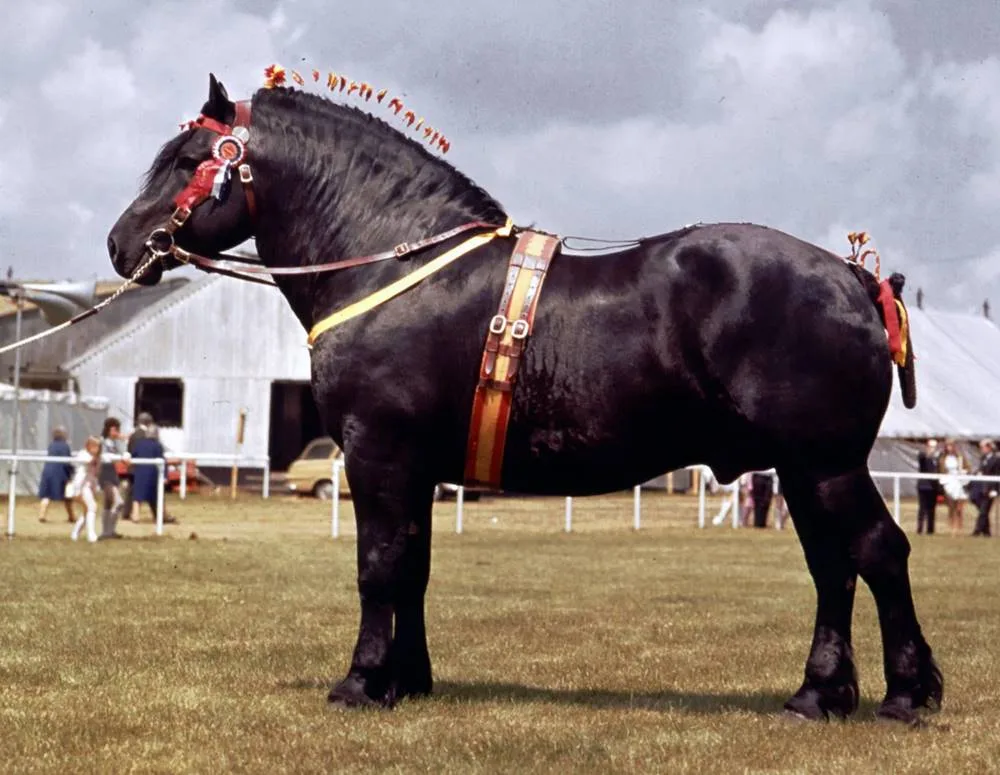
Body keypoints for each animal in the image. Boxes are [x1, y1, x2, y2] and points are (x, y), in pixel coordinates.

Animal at [106, 74, 941, 725]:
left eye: (190, 160)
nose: (122, 244)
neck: (395, 268)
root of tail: (854, 278)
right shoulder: (416, 471)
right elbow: (414, 565)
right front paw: (407, 679)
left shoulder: (379, 454)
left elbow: (379, 565)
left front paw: (361, 680)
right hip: (803, 471)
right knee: (833, 567)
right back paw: (818, 694)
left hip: (826, 465)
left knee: (877, 552)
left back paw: (906, 694)